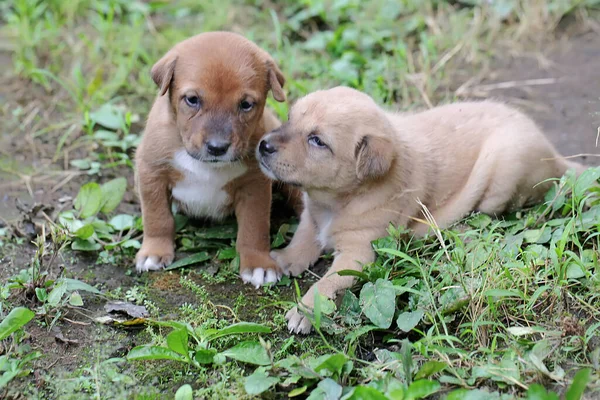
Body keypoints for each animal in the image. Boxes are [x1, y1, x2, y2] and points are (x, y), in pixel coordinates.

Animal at [135, 32, 288, 288]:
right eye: (192, 99)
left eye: (246, 104)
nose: (217, 148)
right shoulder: (151, 171)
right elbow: (157, 217)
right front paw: (154, 251)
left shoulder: (255, 184)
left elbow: (254, 228)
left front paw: (259, 263)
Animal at [258, 87, 584, 334]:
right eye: (289, 118)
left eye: (317, 141)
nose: (262, 145)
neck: (335, 201)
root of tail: (555, 154)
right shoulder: (312, 216)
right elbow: (303, 236)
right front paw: (283, 259)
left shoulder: (358, 251)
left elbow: (330, 280)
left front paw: (306, 310)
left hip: (504, 172)